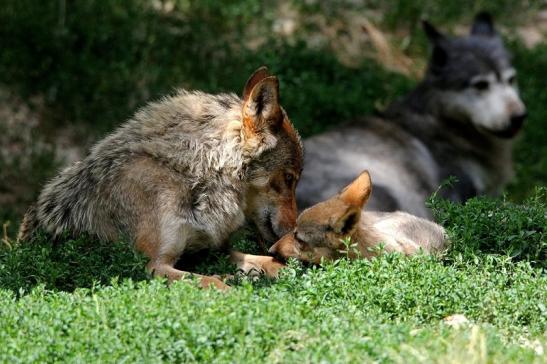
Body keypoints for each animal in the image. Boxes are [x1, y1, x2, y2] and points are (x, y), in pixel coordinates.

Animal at [19, 67, 304, 290]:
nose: (293, 232)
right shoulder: (152, 265)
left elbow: (267, 262)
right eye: (289, 178)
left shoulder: (212, 250)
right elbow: (213, 281)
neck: (192, 176)